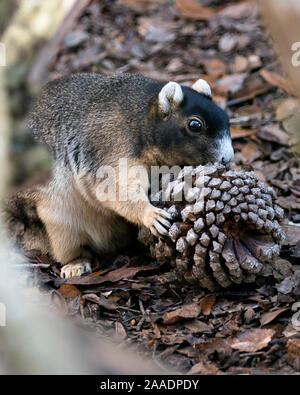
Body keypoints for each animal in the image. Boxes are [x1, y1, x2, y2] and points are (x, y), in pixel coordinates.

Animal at [5, 73, 234, 278]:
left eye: (227, 119)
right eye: (195, 125)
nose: (228, 158)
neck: (141, 120)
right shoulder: (112, 147)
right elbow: (115, 187)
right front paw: (151, 215)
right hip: (60, 223)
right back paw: (75, 264)